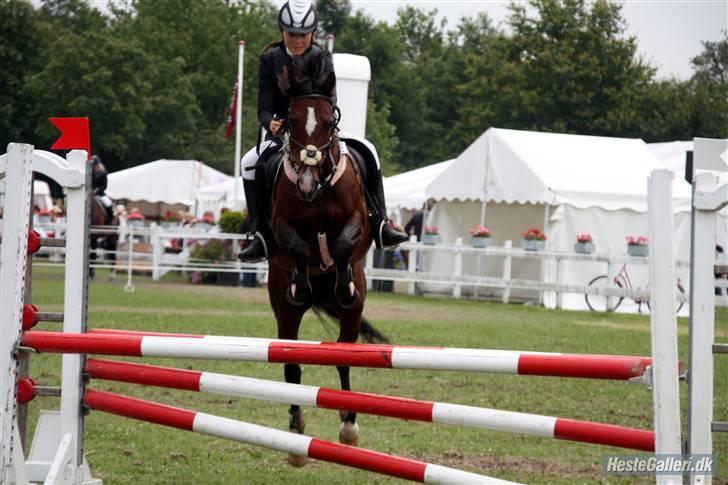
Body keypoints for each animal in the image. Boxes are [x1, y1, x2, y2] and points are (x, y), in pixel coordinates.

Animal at [264, 64, 386, 466]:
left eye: (329, 121)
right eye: (291, 120)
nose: (305, 179)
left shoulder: (356, 220)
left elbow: (345, 244)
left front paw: (343, 284)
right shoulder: (281, 226)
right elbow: (299, 249)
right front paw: (301, 283)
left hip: (351, 319)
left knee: (343, 356)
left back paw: (349, 425)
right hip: (283, 314)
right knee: (291, 363)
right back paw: (295, 436)